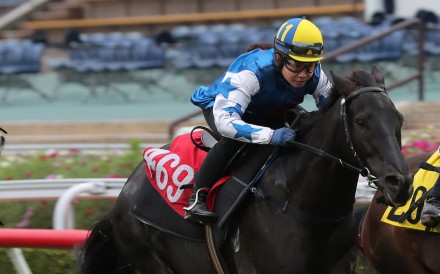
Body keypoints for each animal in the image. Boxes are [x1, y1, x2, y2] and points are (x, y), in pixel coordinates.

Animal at [81, 67, 414, 274]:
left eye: (398, 119)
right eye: (361, 121)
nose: (399, 183)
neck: (306, 207)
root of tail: (124, 194)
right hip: (152, 262)